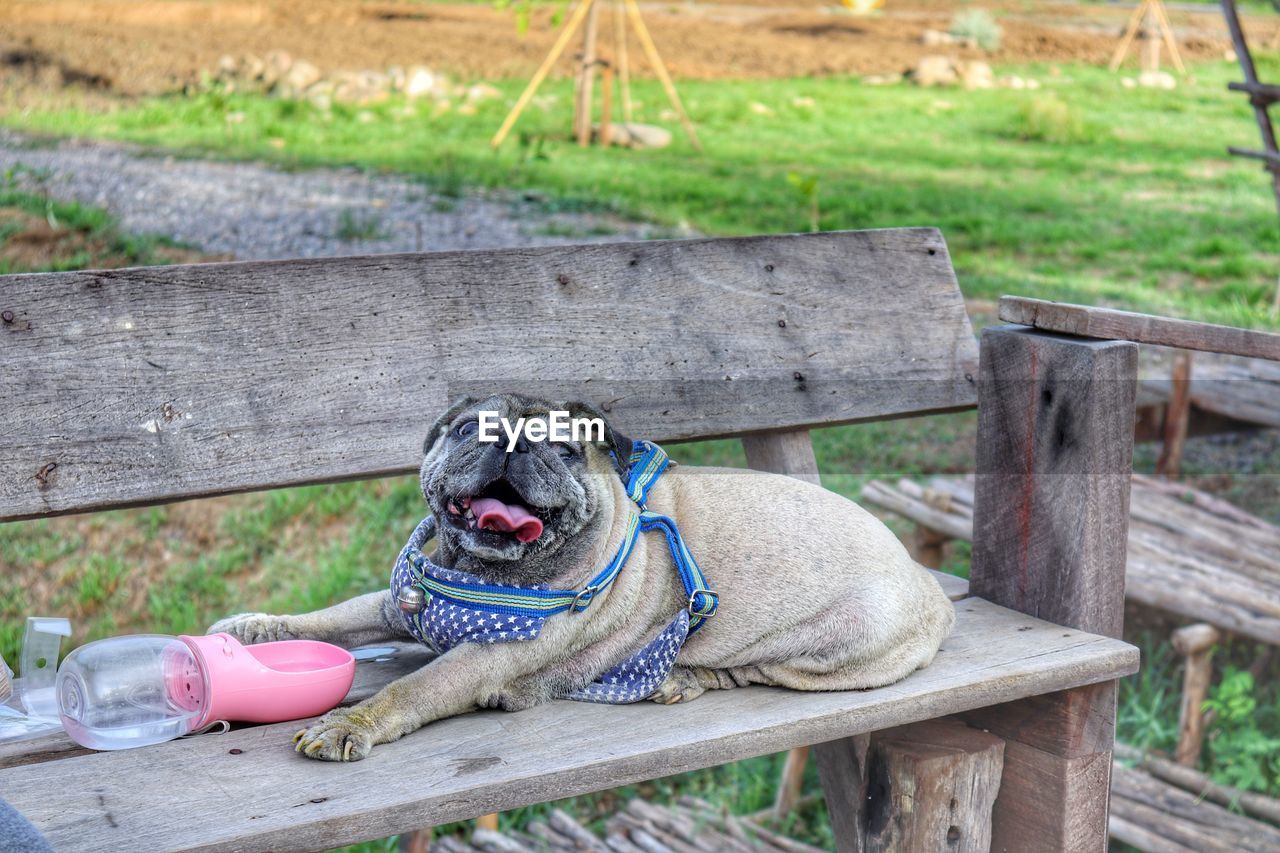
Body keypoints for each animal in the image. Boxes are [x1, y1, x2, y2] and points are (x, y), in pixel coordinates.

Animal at [209, 389, 952, 758]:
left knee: (755, 669)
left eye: (564, 449)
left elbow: (413, 688)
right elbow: (331, 618)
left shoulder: (480, 660)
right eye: (468, 430)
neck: (477, 569)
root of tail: (930, 587)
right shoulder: (399, 605)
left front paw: (352, 722)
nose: (511, 442)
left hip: (833, 644)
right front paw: (252, 630)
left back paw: (681, 678)